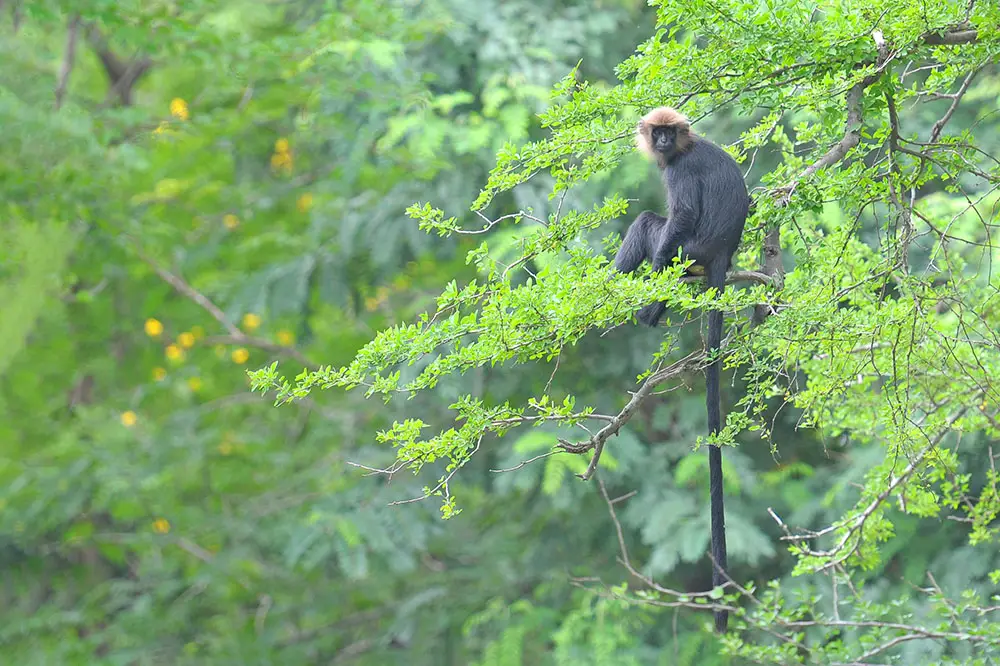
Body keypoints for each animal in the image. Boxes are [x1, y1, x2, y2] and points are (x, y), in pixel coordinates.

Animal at [612, 105, 748, 632]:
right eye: (660, 133)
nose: (665, 143)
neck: (682, 152)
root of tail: (721, 255)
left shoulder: (679, 175)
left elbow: (679, 214)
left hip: (687, 254)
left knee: (653, 225)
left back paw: (639, 299)